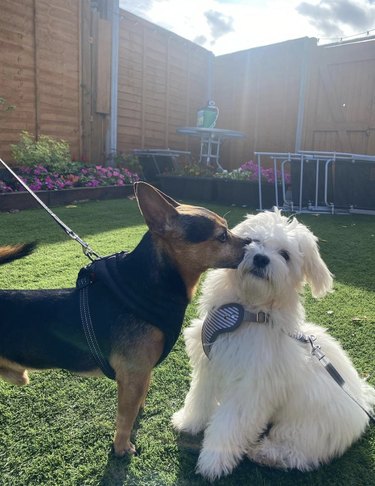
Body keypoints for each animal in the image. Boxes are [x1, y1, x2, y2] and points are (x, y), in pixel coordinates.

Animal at [0, 181, 253, 456]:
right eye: (222, 236)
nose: (252, 244)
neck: (144, 289)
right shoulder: (133, 375)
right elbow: (124, 416)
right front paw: (122, 446)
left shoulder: (142, 374)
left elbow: (136, 405)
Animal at [173, 211, 375, 480]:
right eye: (251, 241)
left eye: (285, 255)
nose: (260, 258)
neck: (246, 312)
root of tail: (362, 399)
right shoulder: (209, 364)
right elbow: (199, 396)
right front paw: (189, 422)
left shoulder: (251, 388)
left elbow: (230, 422)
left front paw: (213, 461)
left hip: (306, 426)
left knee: (299, 452)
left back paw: (266, 453)